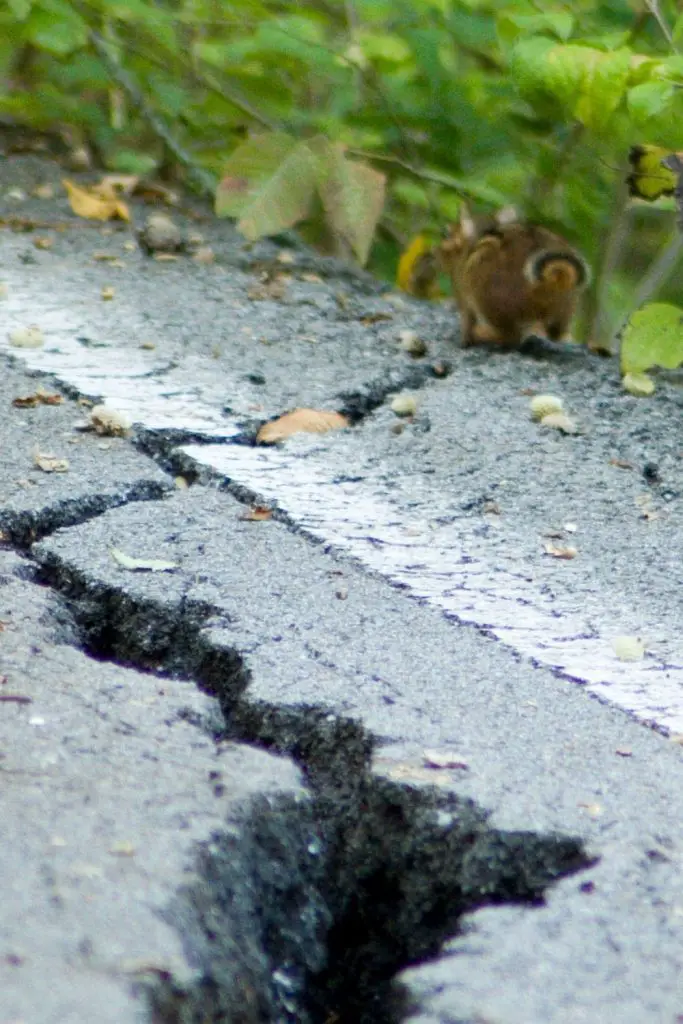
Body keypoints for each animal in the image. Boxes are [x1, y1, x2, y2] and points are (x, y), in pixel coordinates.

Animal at [440, 205, 589, 350]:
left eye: (446, 234)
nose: (436, 253)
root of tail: (541, 287)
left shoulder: (462, 292)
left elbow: (467, 319)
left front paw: (464, 339)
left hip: (487, 298)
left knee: (512, 337)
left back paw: (482, 334)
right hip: (564, 311)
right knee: (557, 335)